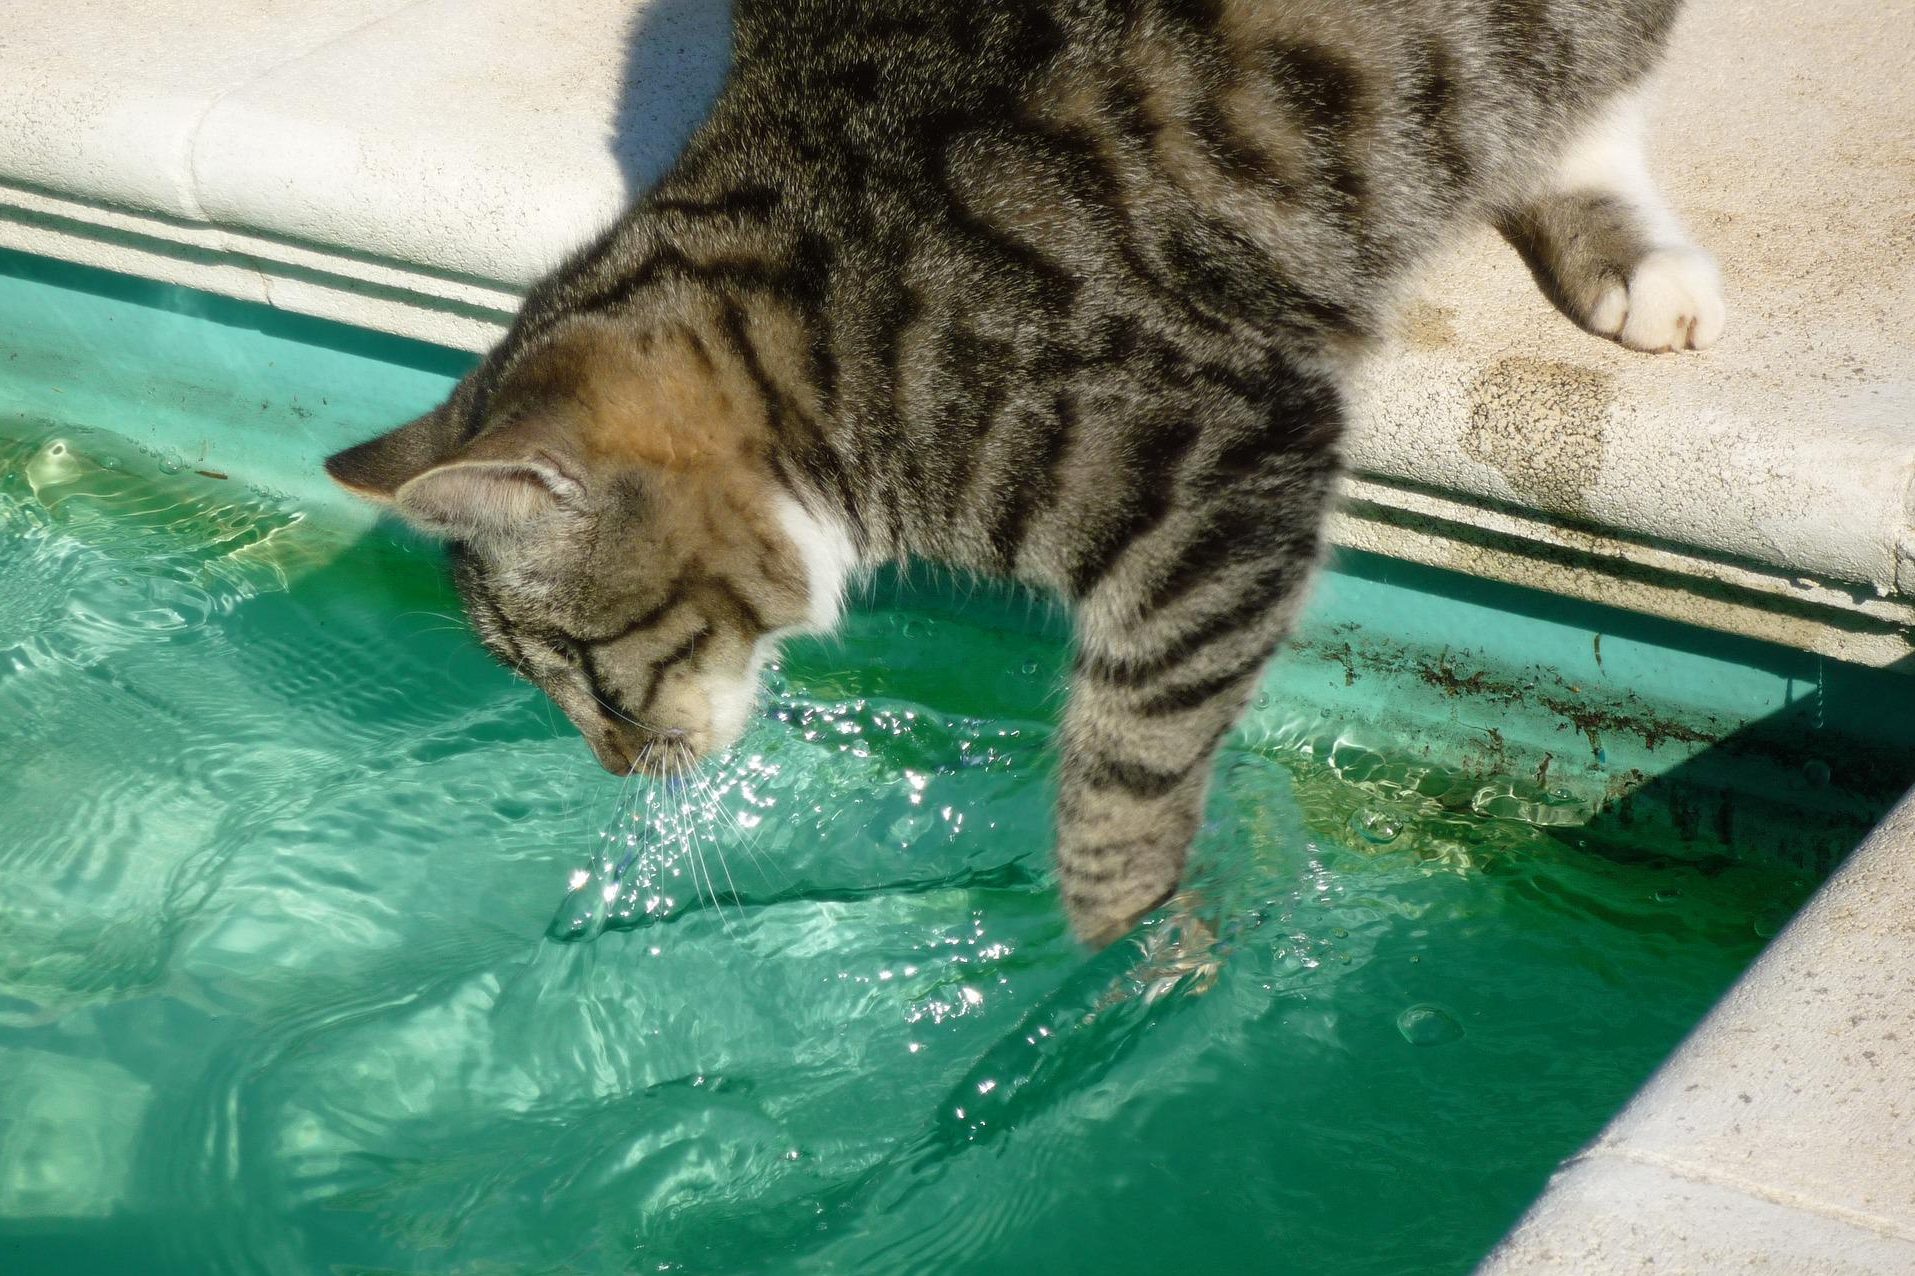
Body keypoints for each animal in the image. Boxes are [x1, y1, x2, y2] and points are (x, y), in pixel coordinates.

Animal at [325, 0, 1723, 942]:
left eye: (584, 672)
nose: (616, 771)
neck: (819, 331)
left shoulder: (1227, 459)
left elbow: (1132, 757)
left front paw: (1127, 946)